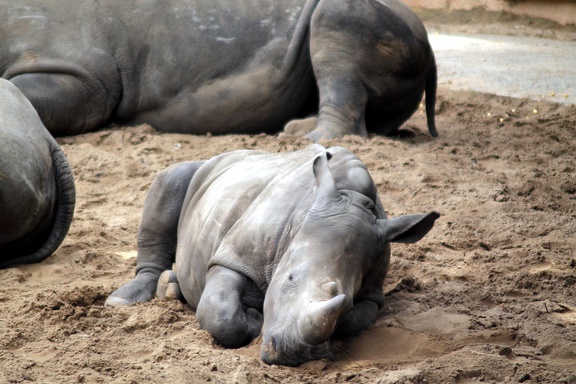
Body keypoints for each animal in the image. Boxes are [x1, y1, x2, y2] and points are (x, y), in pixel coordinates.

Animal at [106, 146, 438, 366]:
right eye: (289, 278)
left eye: (348, 296)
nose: (295, 354)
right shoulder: (235, 258)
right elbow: (219, 313)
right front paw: (255, 321)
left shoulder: (373, 292)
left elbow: (354, 319)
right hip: (208, 171)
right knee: (172, 177)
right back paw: (125, 300)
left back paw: (171, 288)